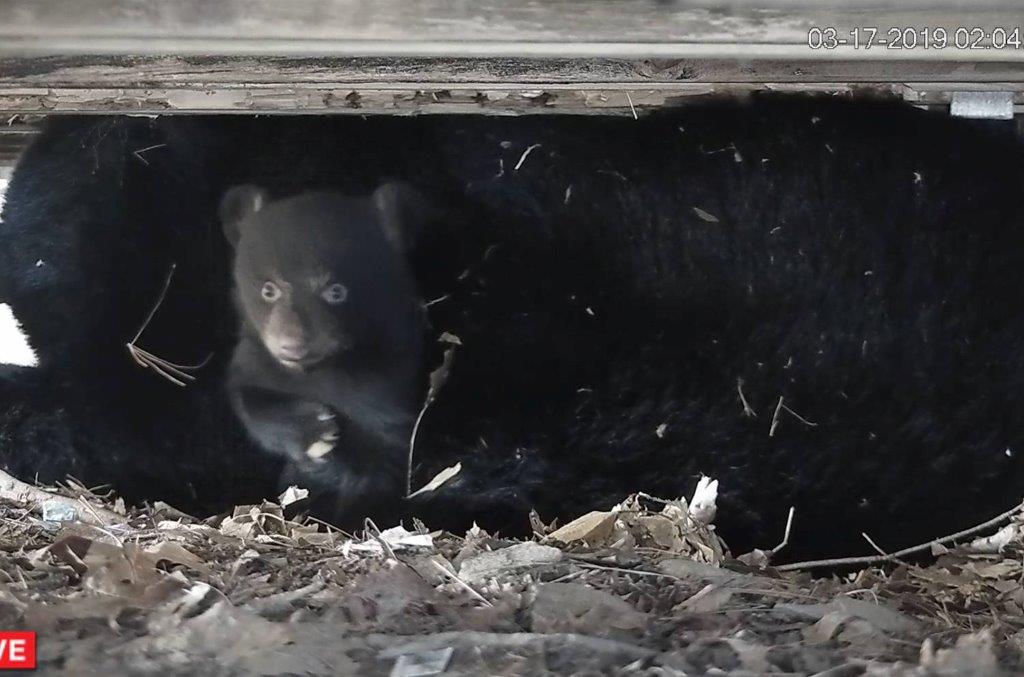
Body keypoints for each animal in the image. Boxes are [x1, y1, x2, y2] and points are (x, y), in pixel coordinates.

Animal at [219, 184, 427, 527]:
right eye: (268, 289)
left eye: (336, 291)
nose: (292, 343)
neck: (318, 370)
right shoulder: (256, 362)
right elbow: (248, 398)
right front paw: (316, 434)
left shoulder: (390, 381)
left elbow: (383, 451)